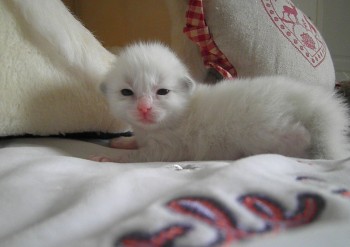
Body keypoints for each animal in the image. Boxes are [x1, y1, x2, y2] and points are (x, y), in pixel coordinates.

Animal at [96, 42, 350, 162]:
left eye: (163, 92)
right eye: (127, 92)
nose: (144, 108)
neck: (184, 110)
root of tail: (314, 105)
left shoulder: (171, 147)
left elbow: (141, 155)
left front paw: (111, 158)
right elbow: (137, 142)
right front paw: (122, 141)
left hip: (263, 126)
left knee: (300, 136)